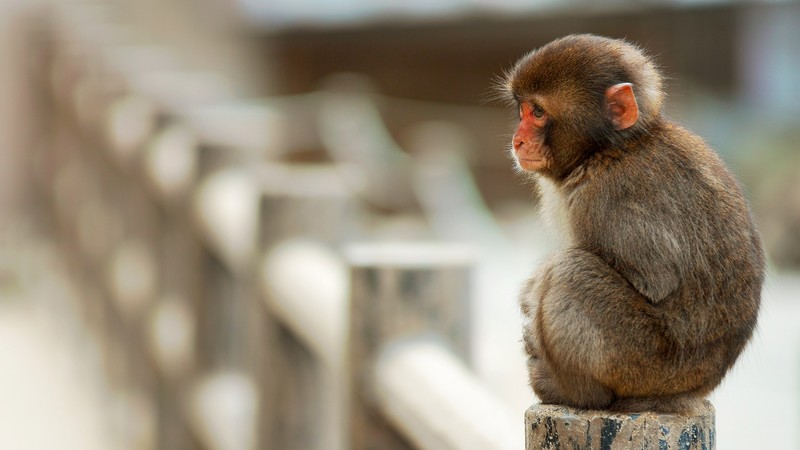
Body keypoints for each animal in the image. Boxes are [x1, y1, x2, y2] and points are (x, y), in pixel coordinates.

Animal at [498, 34, 765, 413]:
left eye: (537, 112)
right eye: (521, 110)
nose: (517, 140)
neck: (608, 151)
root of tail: (694, 389)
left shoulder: (608, 198)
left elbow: (655, 281)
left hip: (644, 364)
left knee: (571, 271)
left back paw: (576, 393)